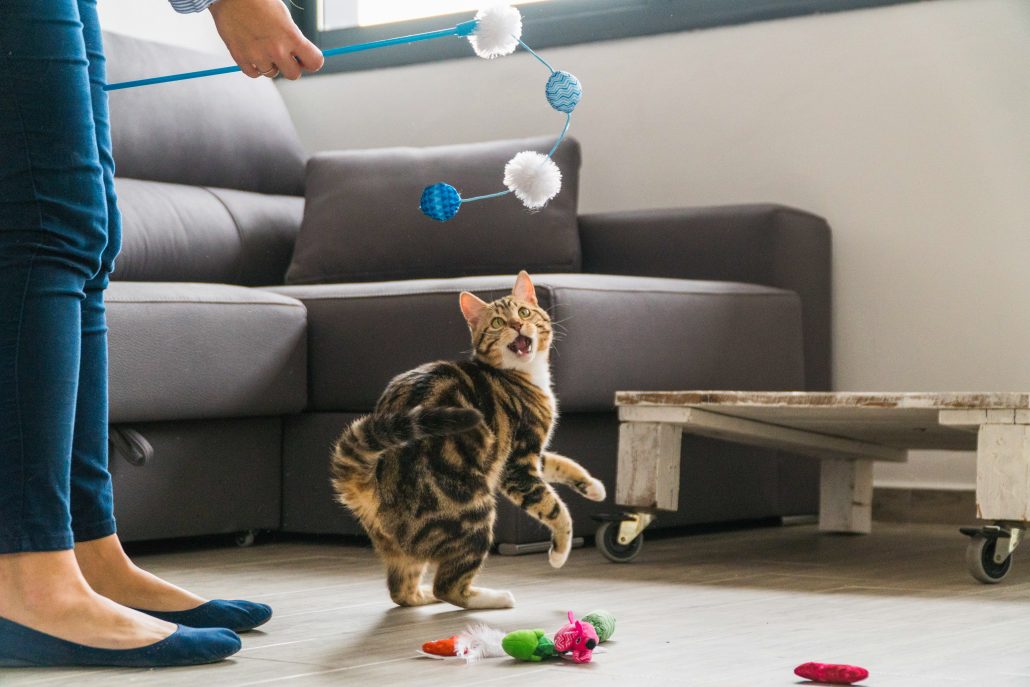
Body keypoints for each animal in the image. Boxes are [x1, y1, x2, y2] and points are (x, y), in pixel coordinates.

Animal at [329, 271, 601, 609]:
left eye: (524, 312)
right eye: (497, 322)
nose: (516, 325)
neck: (522, 375)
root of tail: (372, 488)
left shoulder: (527, 457)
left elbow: (563, 463)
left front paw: (594, 487)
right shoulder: (517, 465)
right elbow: (554, 508)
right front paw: (559, 552)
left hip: (403, 545)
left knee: (401, 591)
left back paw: (422, 595)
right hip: (472, 512)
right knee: (448, 587)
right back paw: (496, 598)